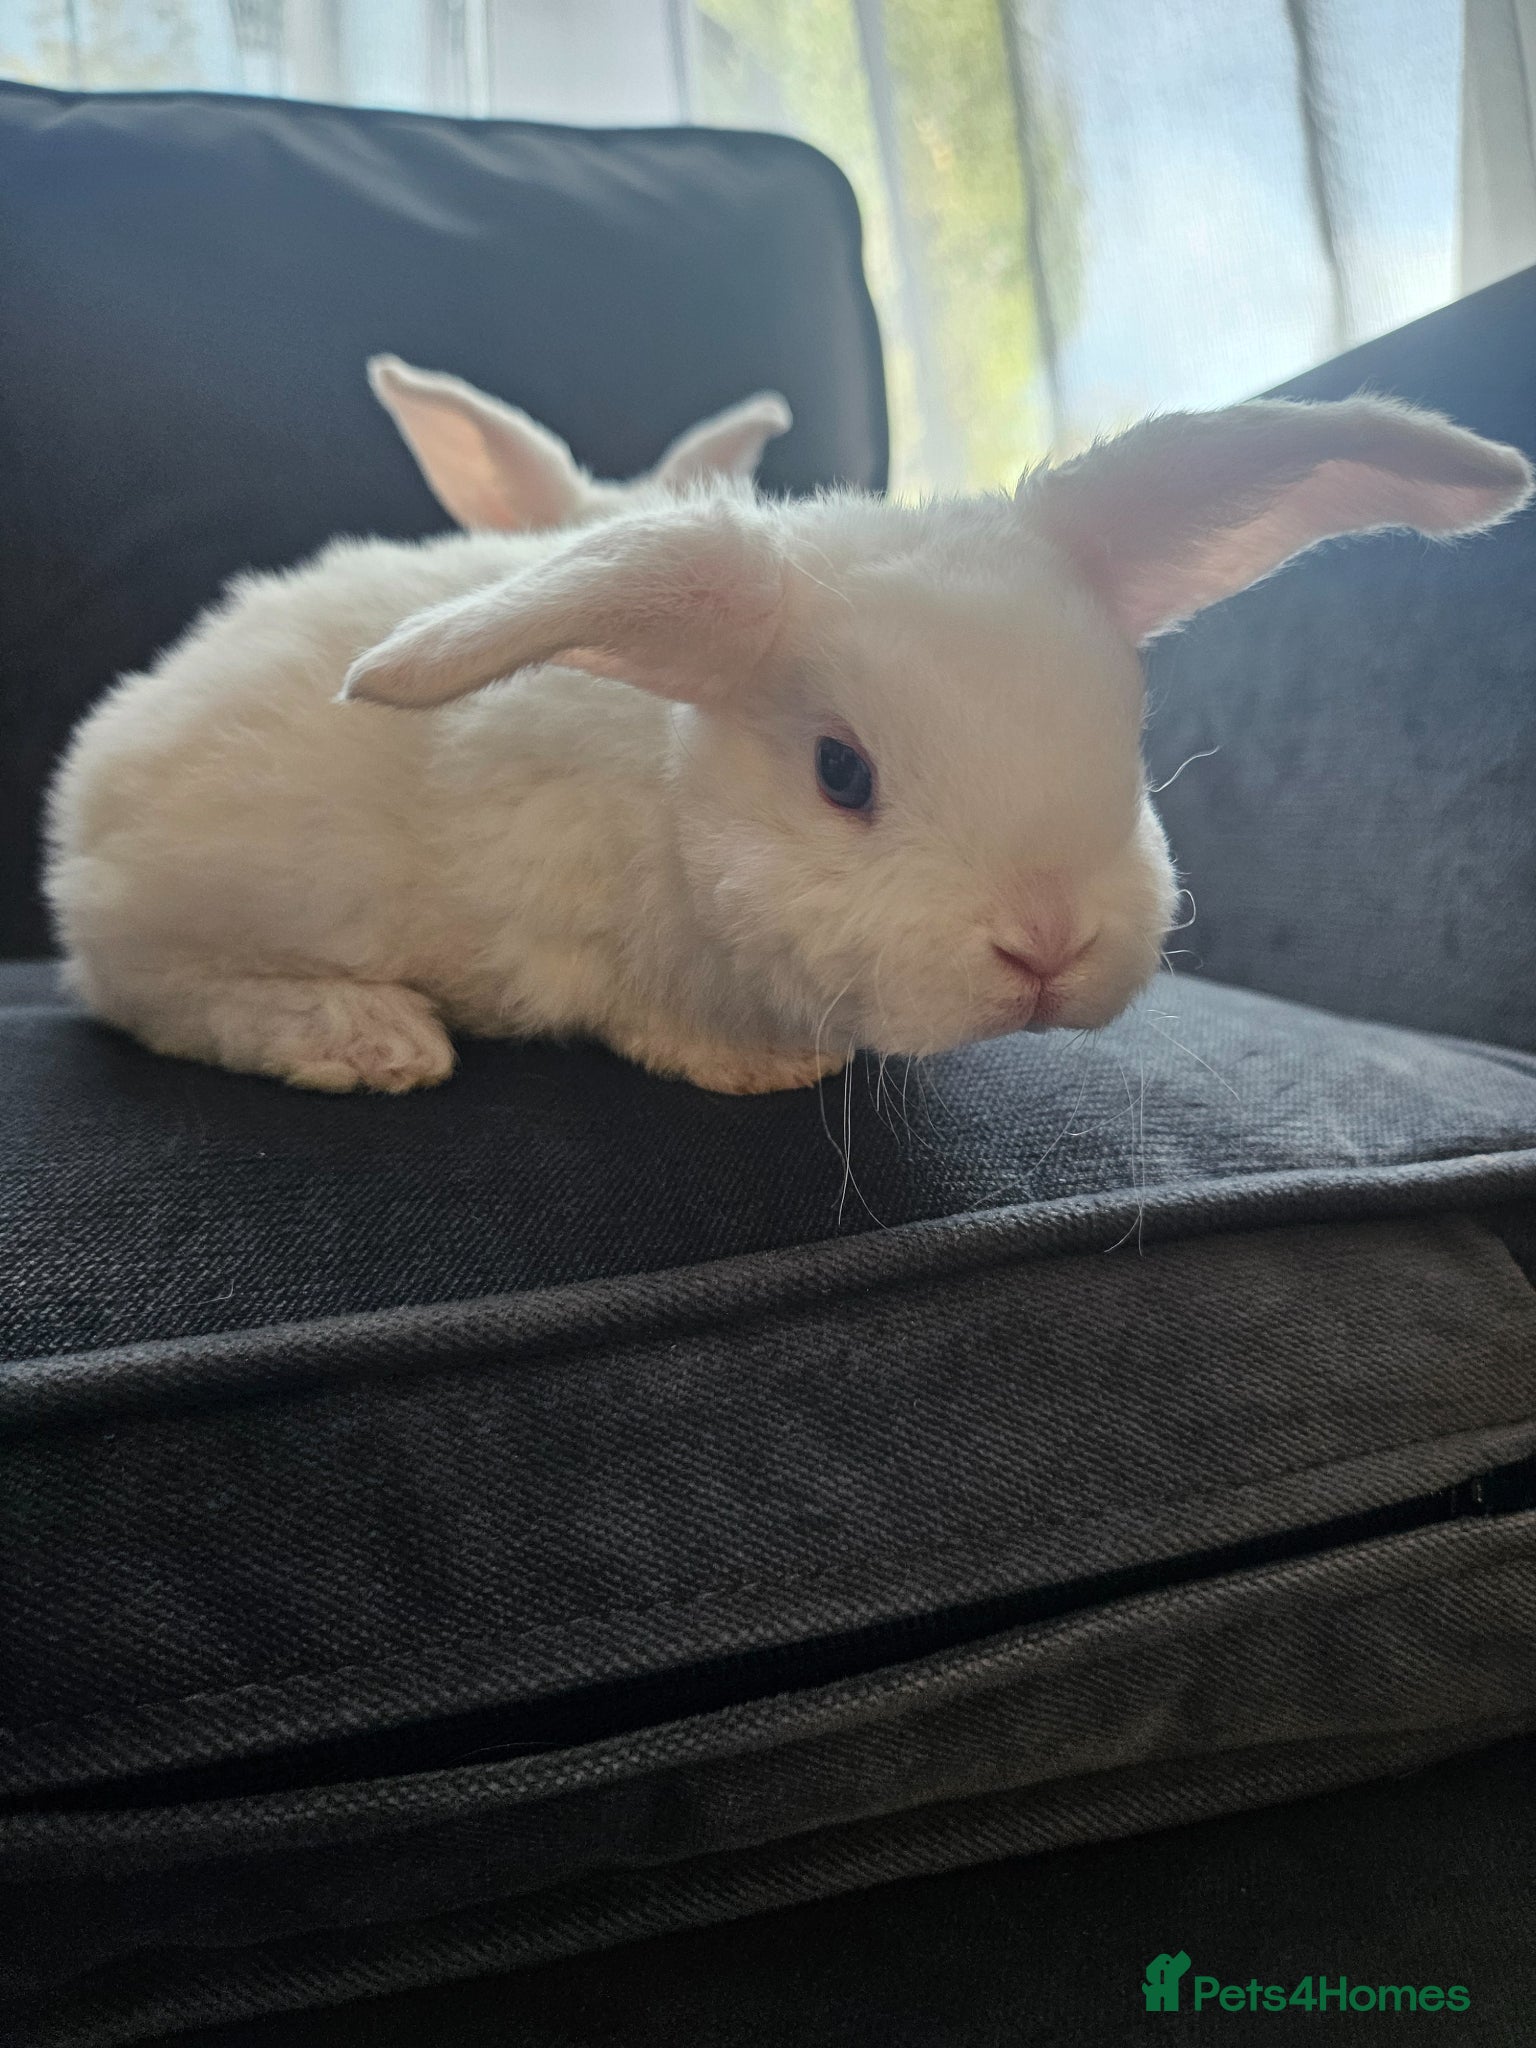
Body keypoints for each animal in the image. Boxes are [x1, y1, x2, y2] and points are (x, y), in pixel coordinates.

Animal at [45, 386, 1531, 1096]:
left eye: (1126, 730)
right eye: (841, 773)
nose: (1047, 945)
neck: (669, 792)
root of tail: (79, 807)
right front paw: (763, 1070)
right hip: (220, 903)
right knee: (143, 990)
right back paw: (365, 1037)